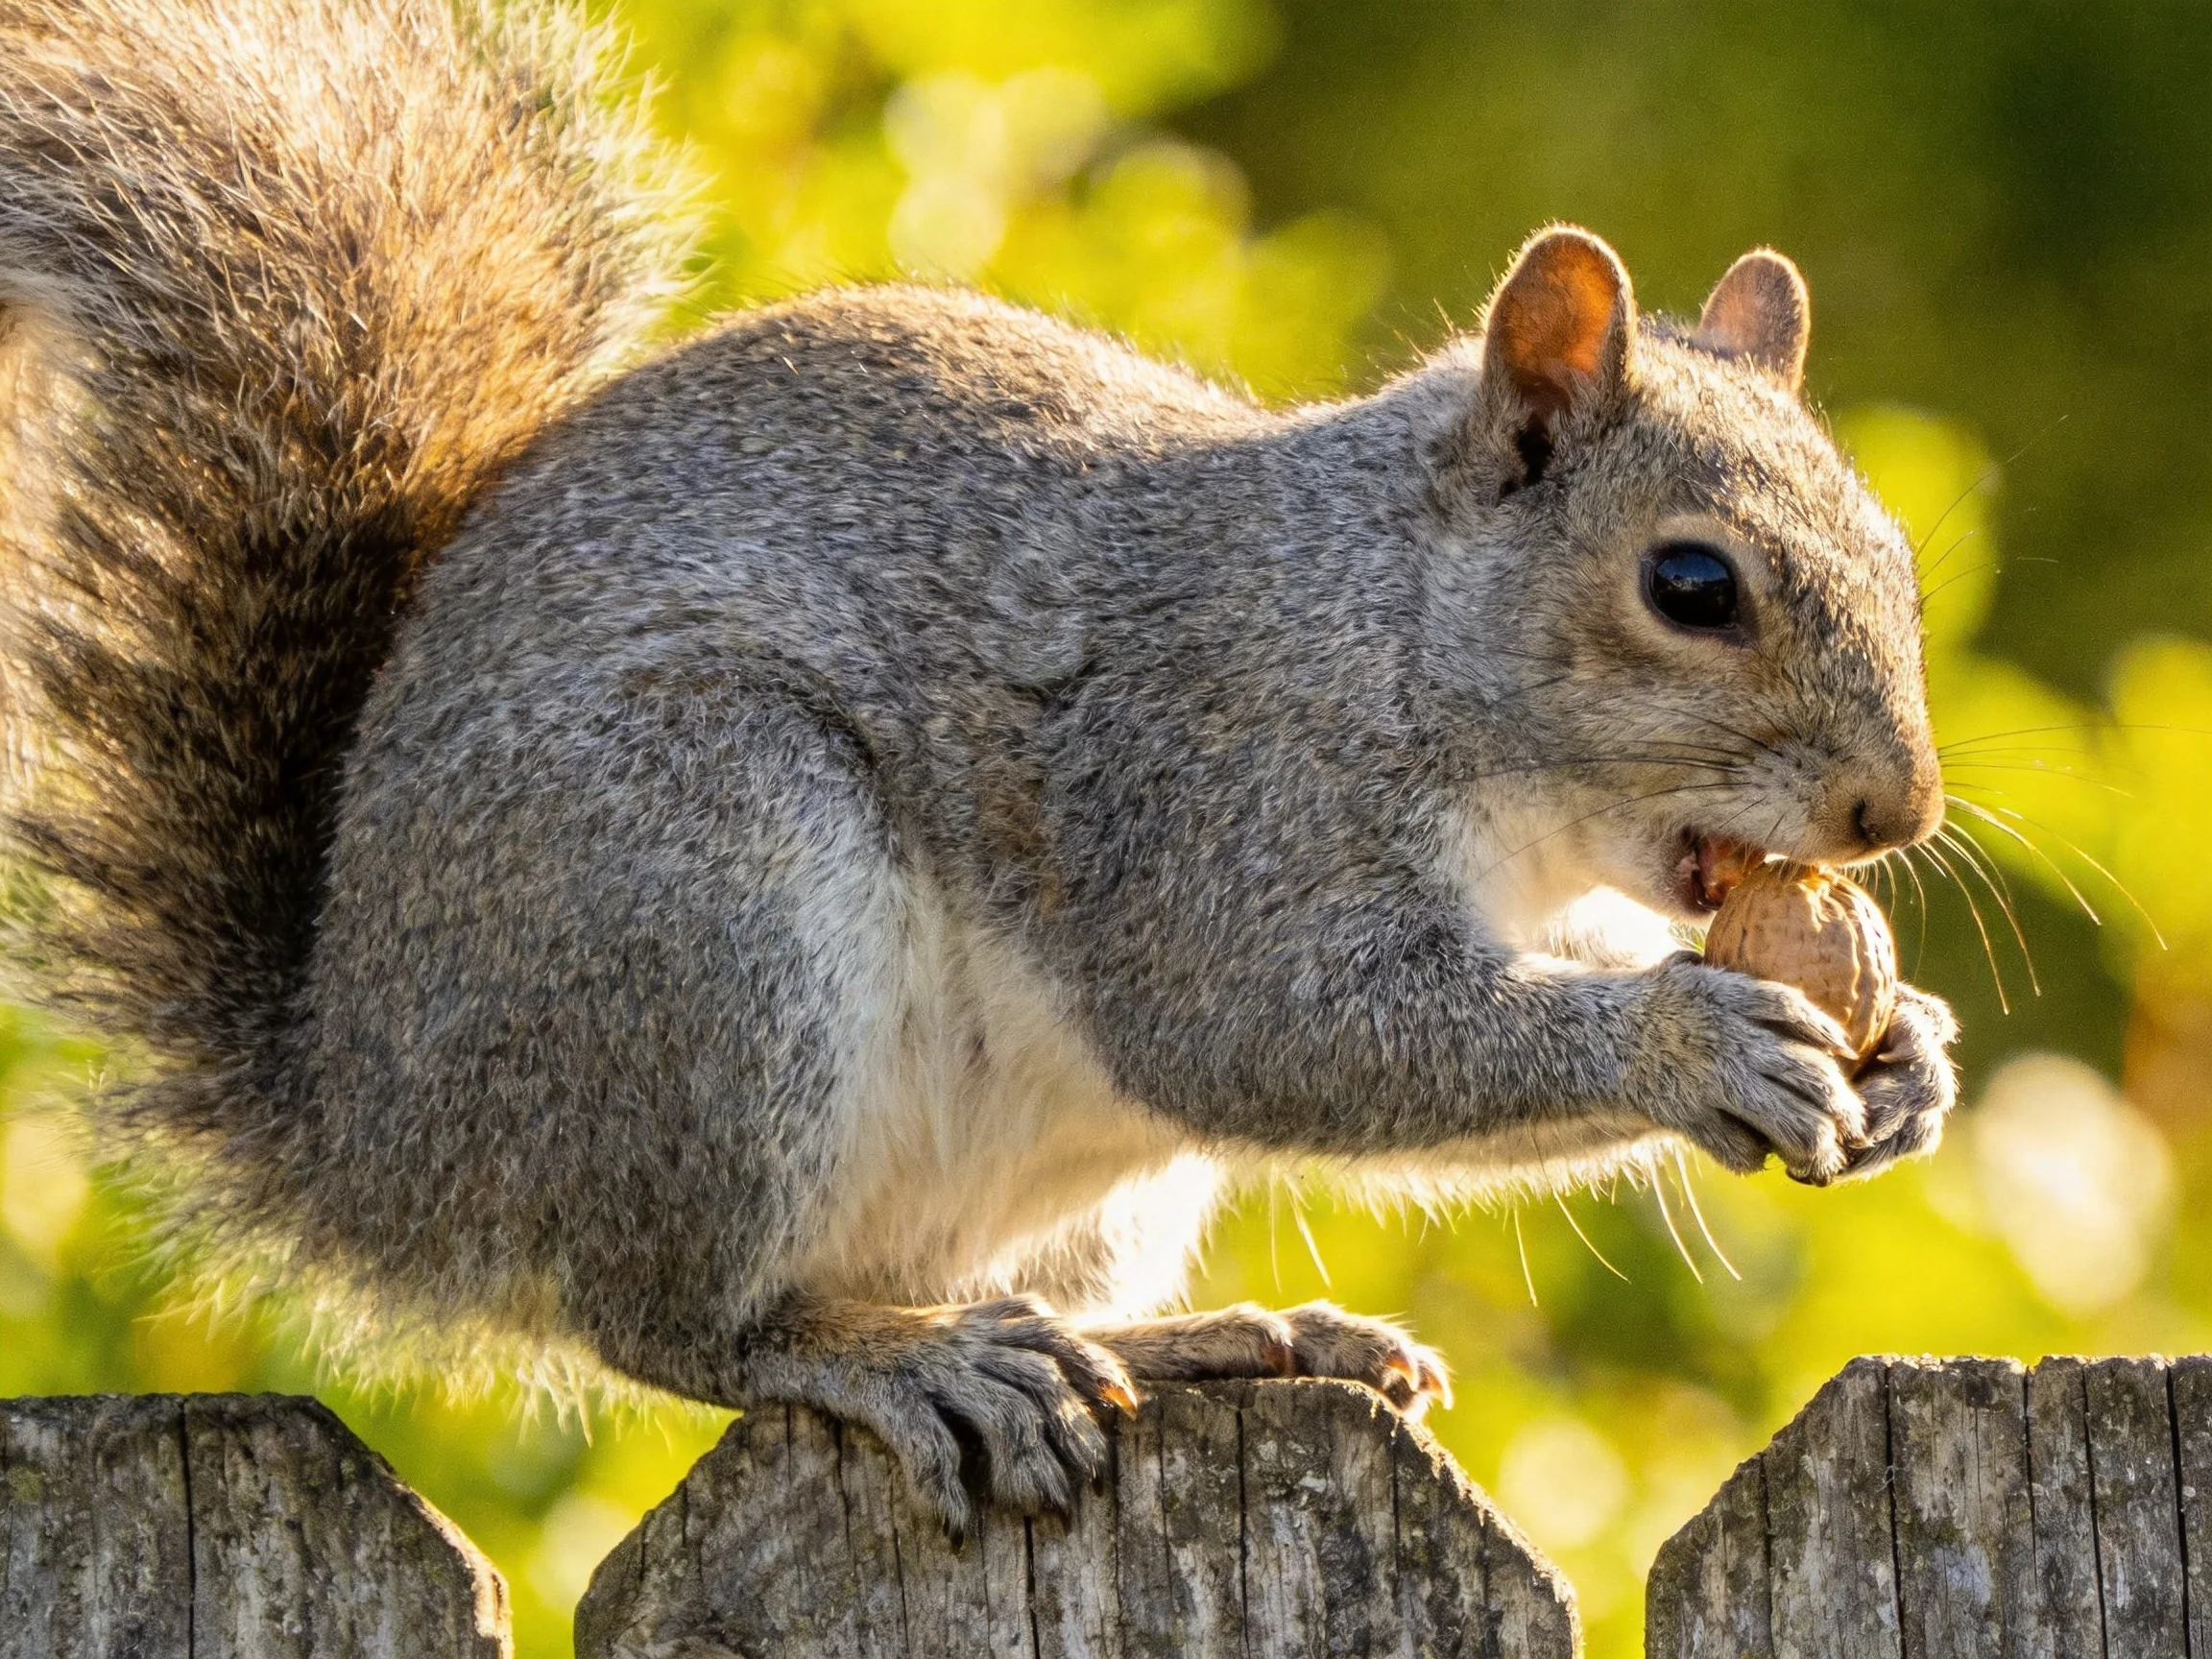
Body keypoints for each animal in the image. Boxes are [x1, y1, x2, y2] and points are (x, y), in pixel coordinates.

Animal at [0, 0, 1956, 1533]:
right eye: (1688, 586)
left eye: (1896, 558)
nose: (1896, 813)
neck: (1387, 620)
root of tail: (368, 1136)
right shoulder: (1207, 785)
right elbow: (1283, 1030)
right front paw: (1691, 1041)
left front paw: (1908, 1052)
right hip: (701, 908)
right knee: (682, 1322)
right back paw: (908, 1365)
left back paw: (1198, 1338)